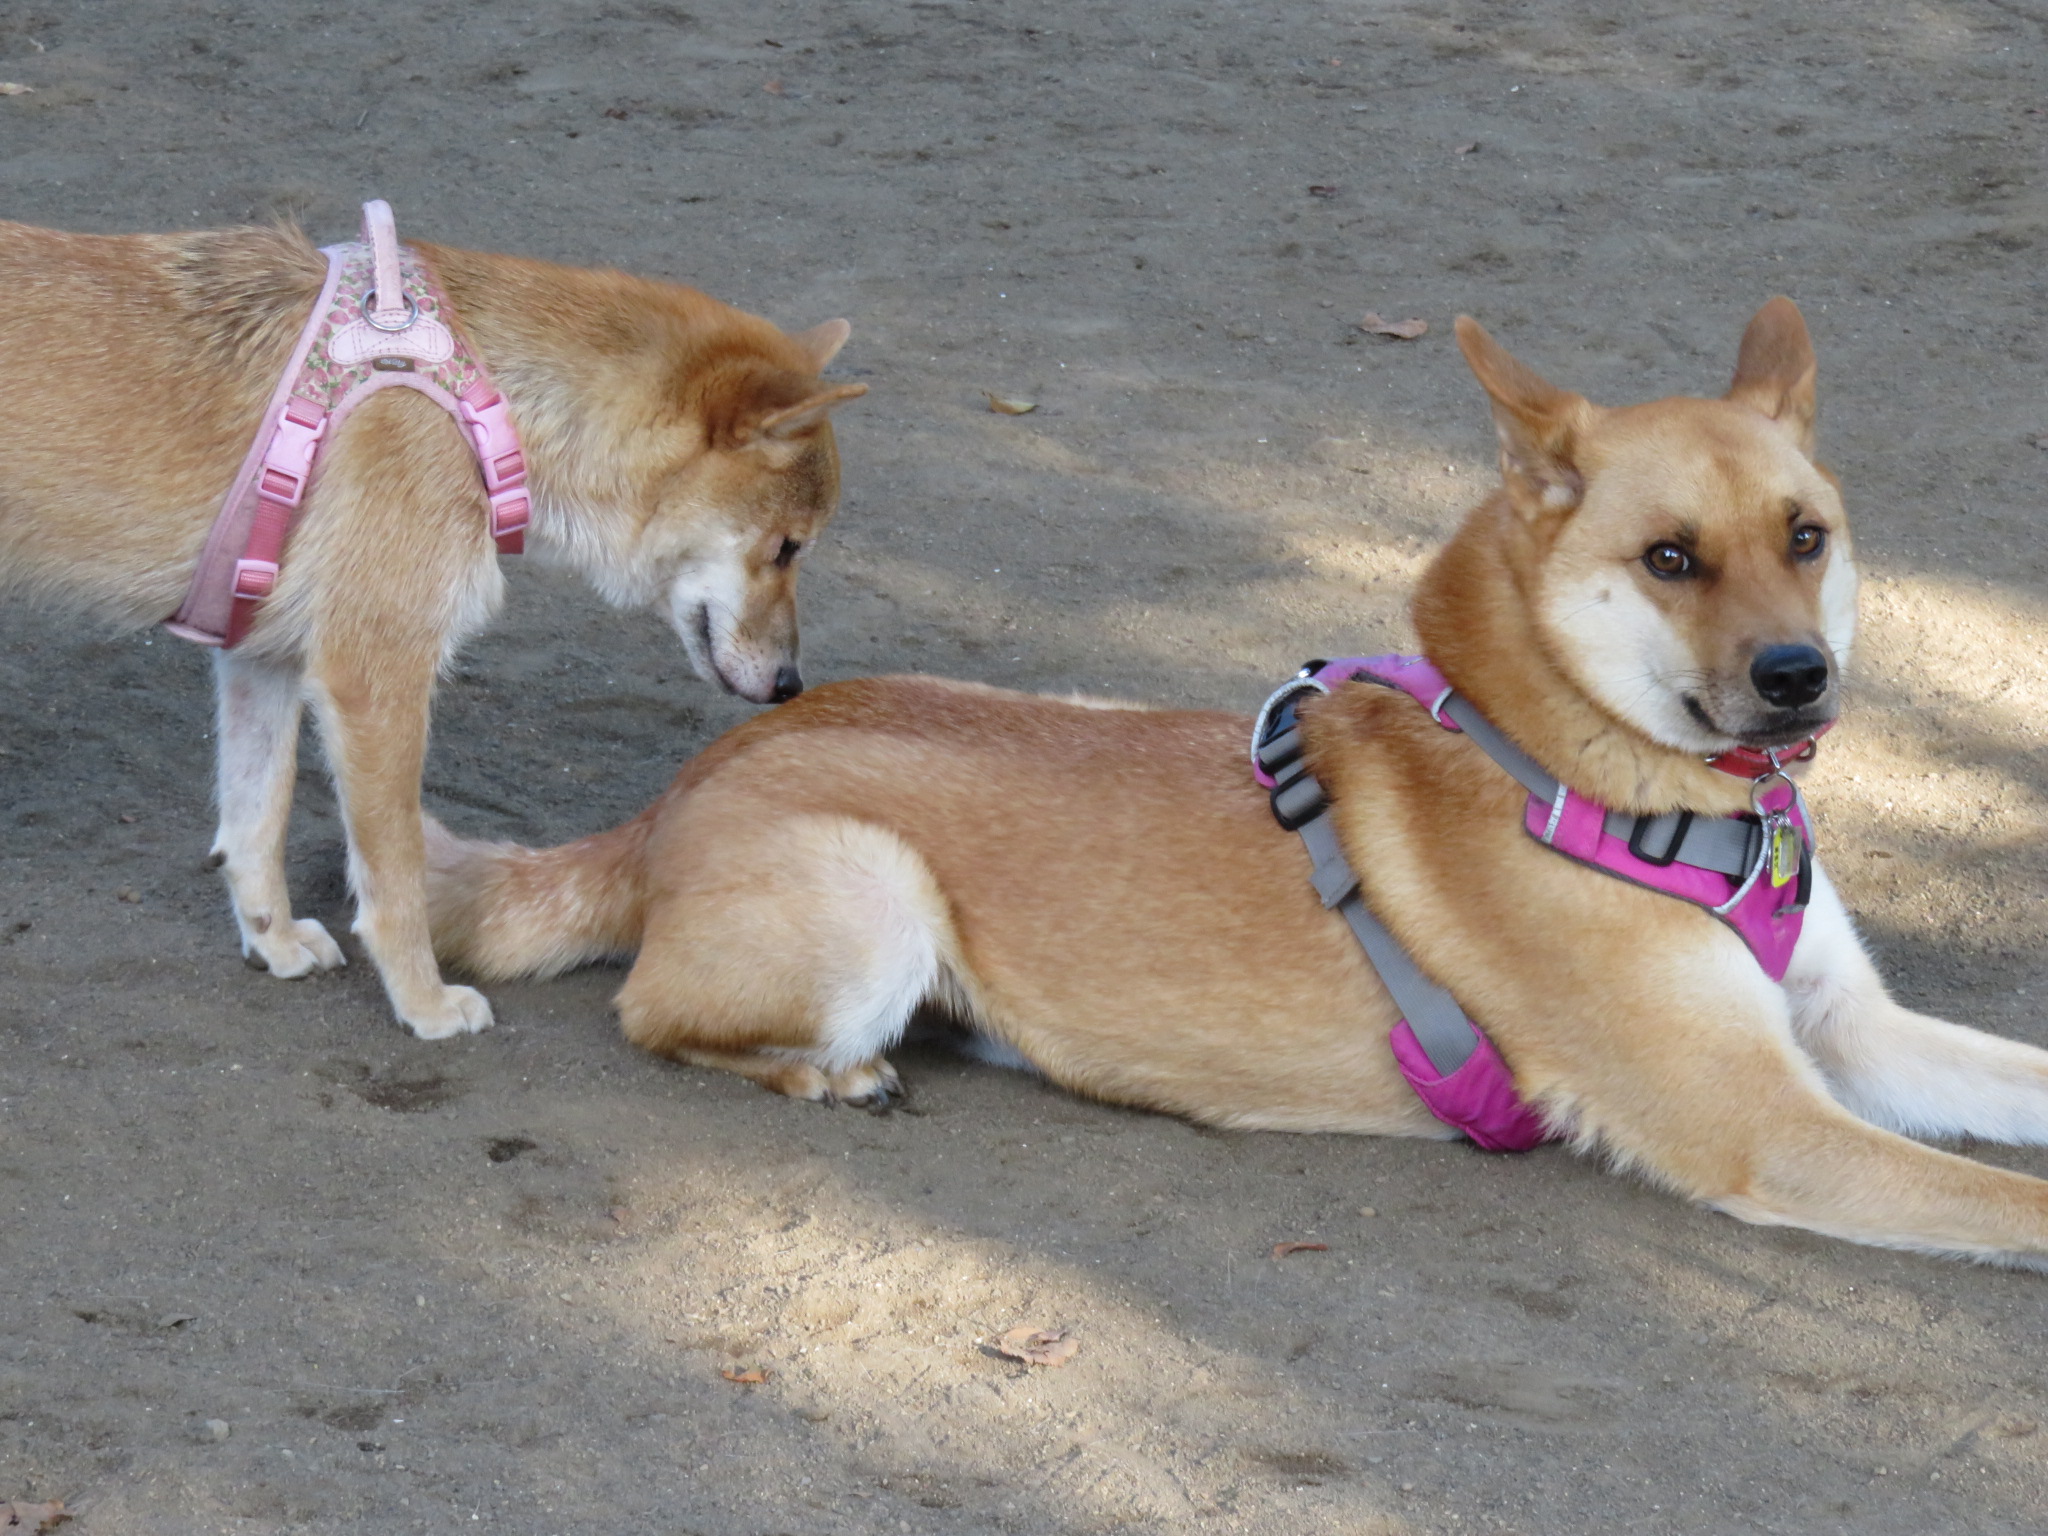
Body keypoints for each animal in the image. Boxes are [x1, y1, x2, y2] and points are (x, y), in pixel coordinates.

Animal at [0, 215, 863, 1038]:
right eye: (788, 549)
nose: (792, 685)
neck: (480, 401)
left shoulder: (262, 663)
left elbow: (255, 829)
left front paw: (271, 941)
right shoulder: (376, 682)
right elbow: (397, 882)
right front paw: (423, 1002)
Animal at [423, 299, 2048, 1264]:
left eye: (1805, 537)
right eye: (1668, 559)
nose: (1797, 678)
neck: (1594, 773)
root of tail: (684, 786)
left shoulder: (1854, 1035)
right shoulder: (1765, 1125)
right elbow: (2012, 1197)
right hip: (868, 906)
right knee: (655, 1014)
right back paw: (833, 1070)